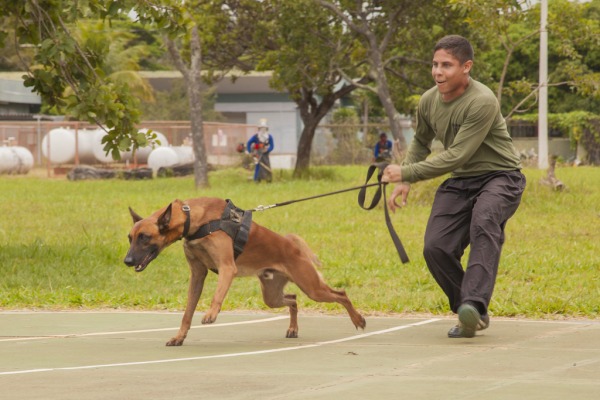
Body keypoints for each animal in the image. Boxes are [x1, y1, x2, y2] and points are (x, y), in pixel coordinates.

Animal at [124, 198, 366, 346]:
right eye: (130, 238)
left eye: (144, 237)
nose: (127, 261)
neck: (194, 219)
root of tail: (291, 244)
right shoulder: (197, 276)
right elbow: (187, 314)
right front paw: (179, 337)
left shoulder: (226, 268)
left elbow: (217, 295)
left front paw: (211, 314)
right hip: (272, 296)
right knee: (293, 299)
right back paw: (293, 328)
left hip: (313, 288)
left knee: (341, 294)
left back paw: (358, 320)